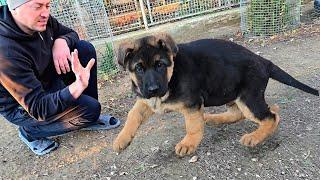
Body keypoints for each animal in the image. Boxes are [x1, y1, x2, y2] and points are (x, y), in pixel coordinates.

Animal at [112, 33, 318, 157]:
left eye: (160, 65)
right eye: (139, 68)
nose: (154, 89)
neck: (170, 77)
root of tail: (263, 61)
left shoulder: (192, 104)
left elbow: (193, 126)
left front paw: (189, 143)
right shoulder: (145, 100)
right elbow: (132, 115)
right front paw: (122, 139)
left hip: (247, 98)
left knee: (271, 116)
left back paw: (254, 137)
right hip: (229, 91)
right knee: (241, 113)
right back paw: (213, 118)